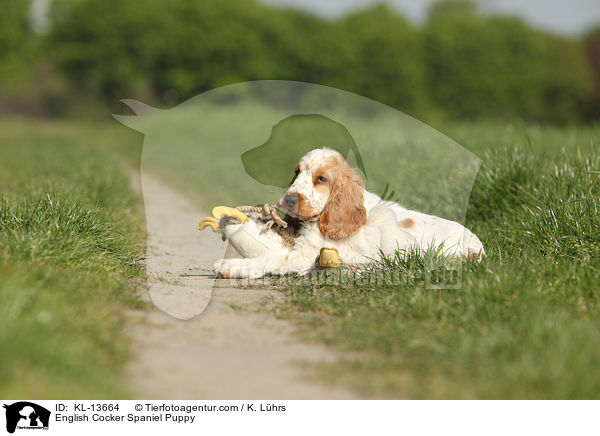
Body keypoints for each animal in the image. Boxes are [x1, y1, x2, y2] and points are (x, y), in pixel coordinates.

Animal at [213, 148, 486, 278]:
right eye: (297, 173)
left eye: (321, 179)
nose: (288, 199)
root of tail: (479, 250)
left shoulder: (305, 255)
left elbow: (274, 258)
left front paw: (230, 266)